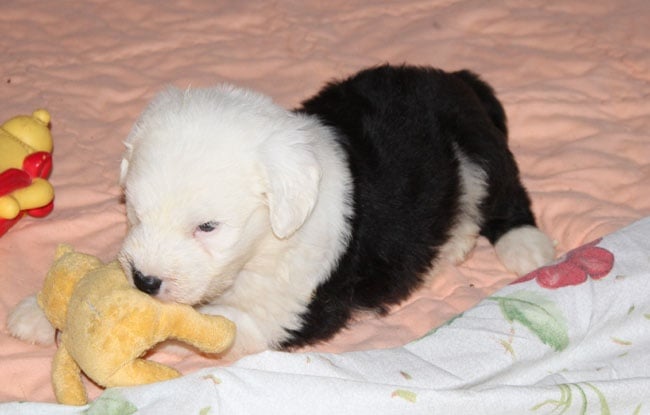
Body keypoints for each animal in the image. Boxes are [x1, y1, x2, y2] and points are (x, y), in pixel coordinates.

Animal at [8, 64, 554, 357]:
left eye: (208, 227)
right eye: (136, 214)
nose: (145, 281)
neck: (265, 243)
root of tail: (454, 78)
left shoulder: (292, 311)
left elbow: (203, 322)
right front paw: (39, 312)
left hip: (477, 149)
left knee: (508, 191)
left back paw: (524, 246)